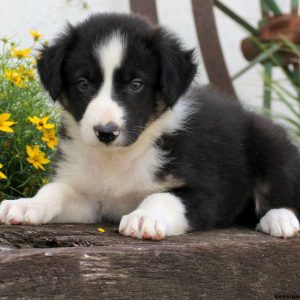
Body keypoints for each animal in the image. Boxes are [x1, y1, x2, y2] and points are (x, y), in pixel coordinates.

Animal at [0, 13, 300, 239]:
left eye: (136, 84)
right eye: (83, 83)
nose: (106, 132)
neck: (116, 159)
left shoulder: (206, 194)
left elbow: (162, 197)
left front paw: (144, 217)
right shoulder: (88, 199)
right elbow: (55, 190)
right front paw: (26, 205)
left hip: (270, 139)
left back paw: (280, 218)